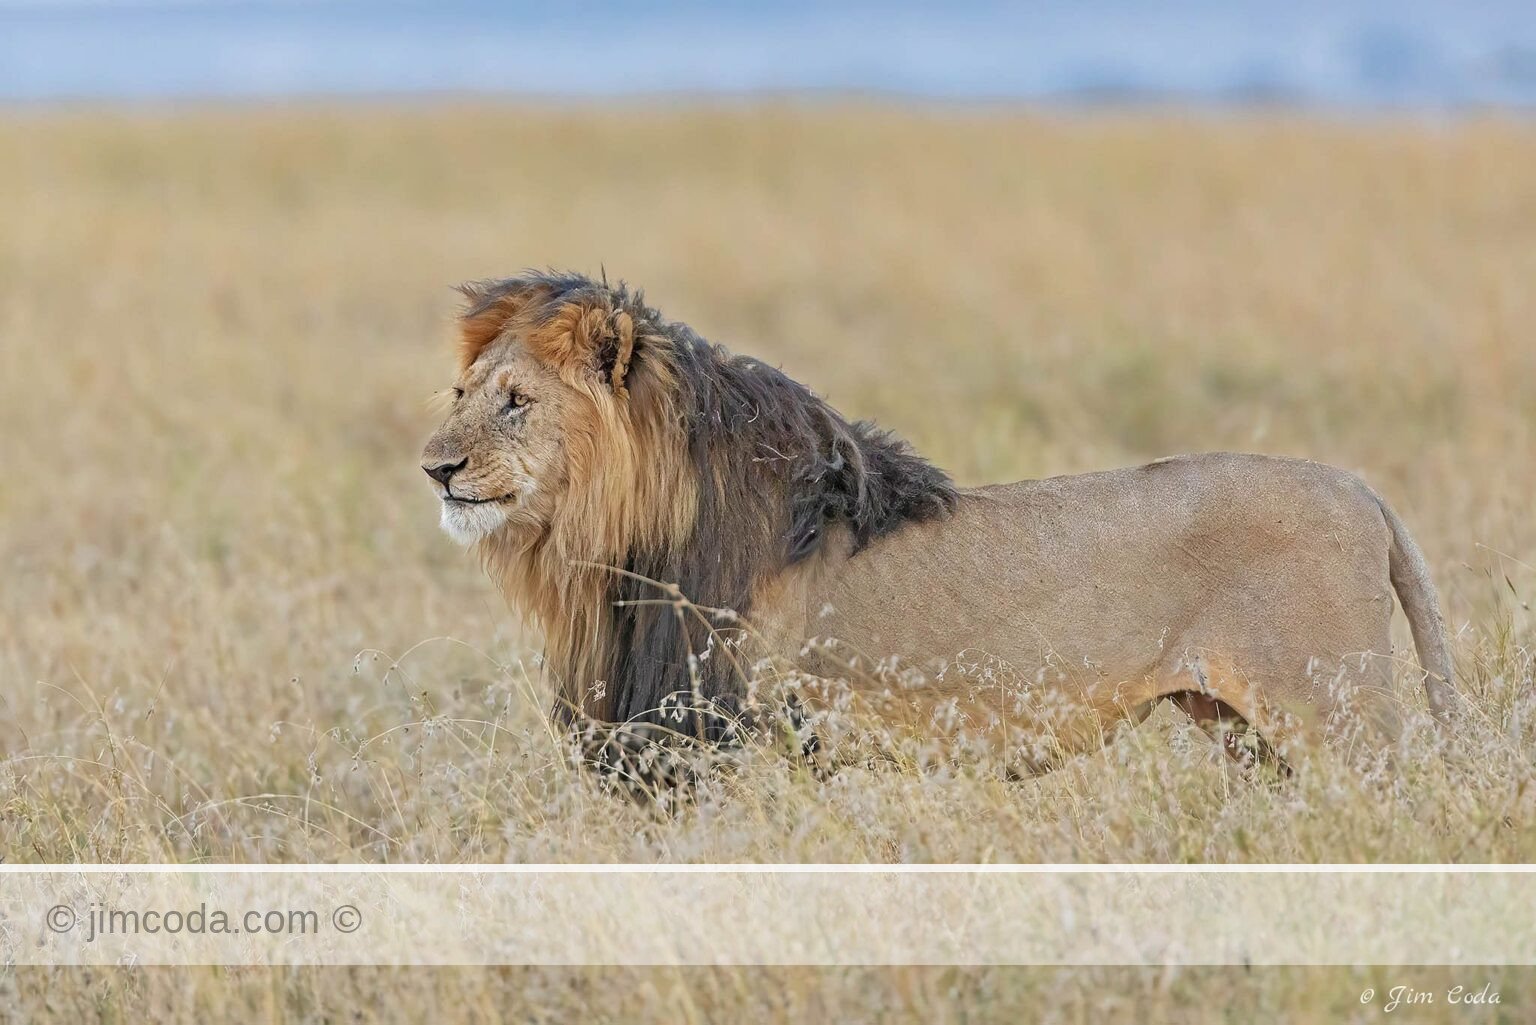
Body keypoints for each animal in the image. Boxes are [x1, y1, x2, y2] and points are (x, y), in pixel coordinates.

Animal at [420, 269, 1455, 775]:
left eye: (516, 403)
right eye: (464, 394)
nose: (435, 466)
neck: (609, 554)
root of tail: (1360, 489)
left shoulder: (734, 734)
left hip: (1338, 716)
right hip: (1248, 730)